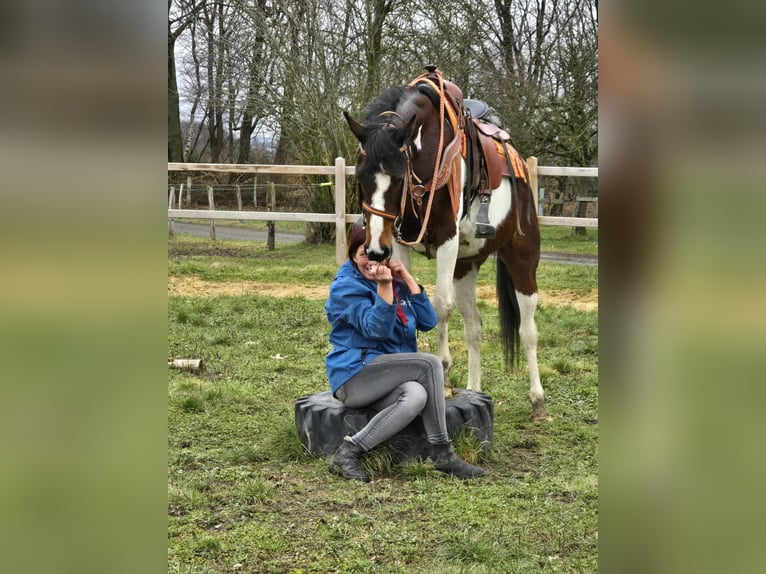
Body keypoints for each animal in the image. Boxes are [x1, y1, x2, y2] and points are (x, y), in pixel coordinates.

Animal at [343, 66, 549, 421]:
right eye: (359, 176)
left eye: (398, 178)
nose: (375, 251)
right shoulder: (399, 243)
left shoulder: (446, 242)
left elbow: (440, 307)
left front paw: (443, 377)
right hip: (466, 267)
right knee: (475, 327)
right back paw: (475, 389)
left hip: (522, 258)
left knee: (528, 330)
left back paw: (537, 400)